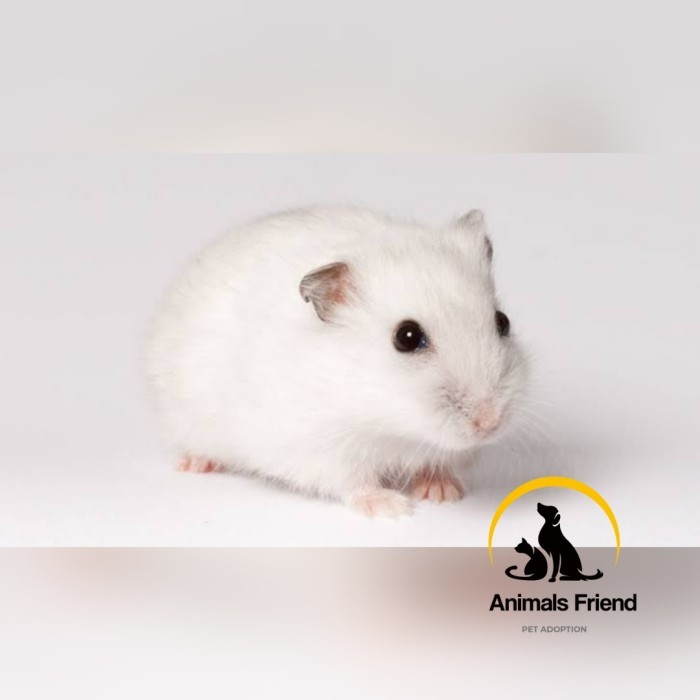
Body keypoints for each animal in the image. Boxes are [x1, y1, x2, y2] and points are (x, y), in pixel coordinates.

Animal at [146, 205, 527, 517]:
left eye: (503, 321)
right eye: (406, 337)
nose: (489, 423)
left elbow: (436, 465)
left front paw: (443, 493)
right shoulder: (321, 448)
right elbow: (353, 482)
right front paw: (392, 508)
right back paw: (197, 464)